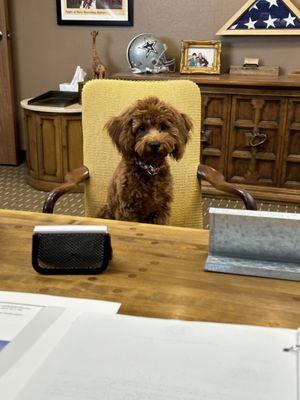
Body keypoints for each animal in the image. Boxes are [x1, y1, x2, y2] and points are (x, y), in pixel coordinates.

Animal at [98, 95, 192, 223]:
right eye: (141, 128)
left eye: (163, 126)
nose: (154, 144)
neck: (149, 168)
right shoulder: (127, 210)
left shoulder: (161, 209)